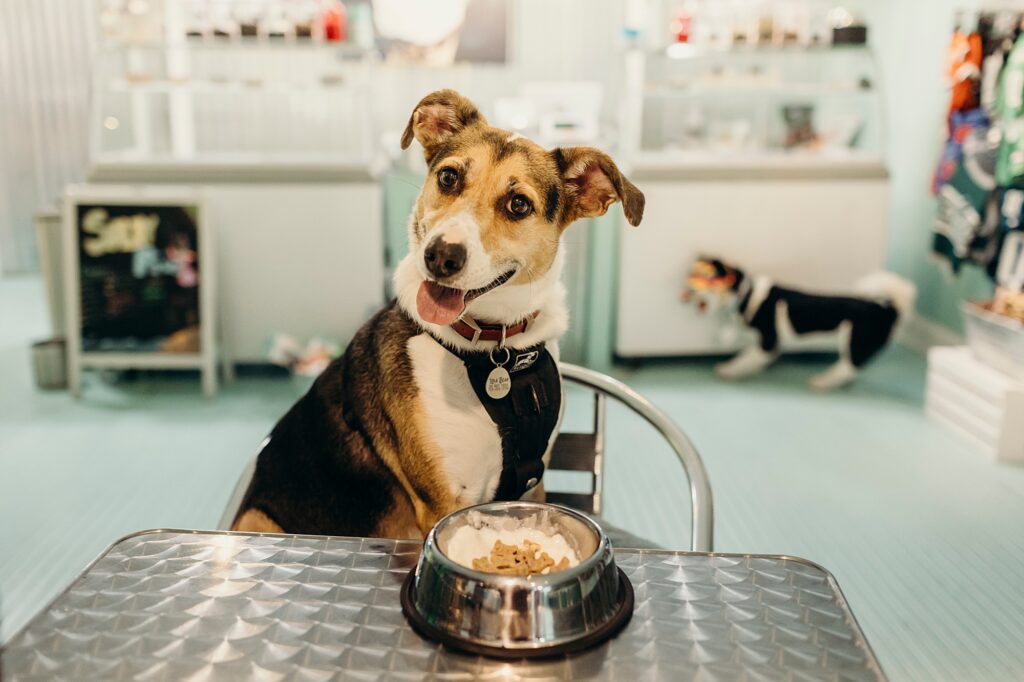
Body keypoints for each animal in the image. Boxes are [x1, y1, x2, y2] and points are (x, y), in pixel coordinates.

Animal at [235, 89, 643, 536]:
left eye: (518, 204)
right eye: (449, 178)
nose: (441, 256)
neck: (498, 350)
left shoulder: (533, 483)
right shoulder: (443, 502)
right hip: (258, 518)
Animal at [684, 256, 917, 393]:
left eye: (706, 276)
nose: (689, 290)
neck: (747, 294)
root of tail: (889, 308)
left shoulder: (769, 341)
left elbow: (746, 357)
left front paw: (731, 370)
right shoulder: (769, 344)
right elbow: (751, 355)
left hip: (855, 340)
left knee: (848, 366)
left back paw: (824, 382)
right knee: (851, 368)